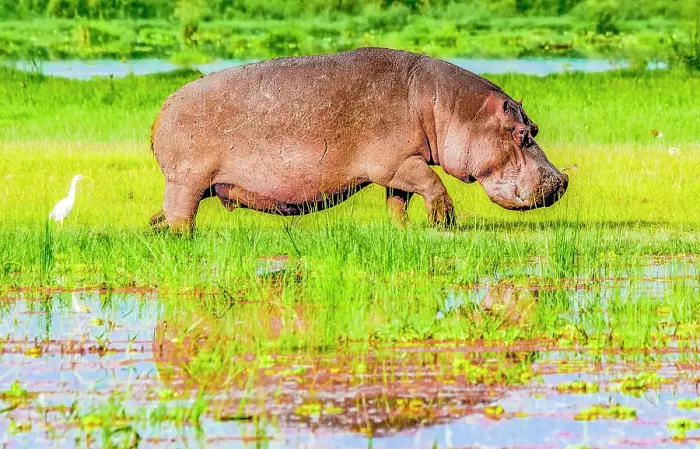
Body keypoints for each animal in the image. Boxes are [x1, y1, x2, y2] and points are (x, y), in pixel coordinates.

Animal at [150, 47, 568, 232]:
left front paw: (404, 231)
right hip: (186, 181)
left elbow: (398, 201)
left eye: (535, 130)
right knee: (181, 215)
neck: (448, 108)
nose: (562, 181)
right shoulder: (396, 162)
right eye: (521, 133)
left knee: (168, 213)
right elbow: (433, 184)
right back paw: (182, 238)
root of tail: (163, 107)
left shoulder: (402, 163)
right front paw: (443, 222)